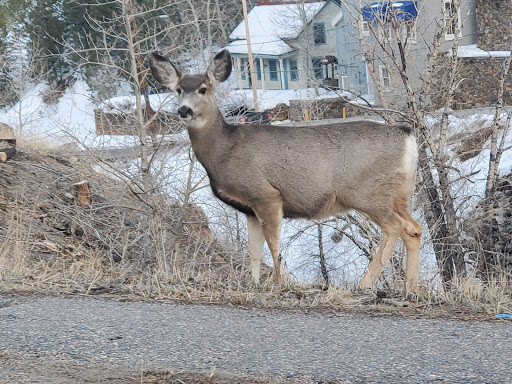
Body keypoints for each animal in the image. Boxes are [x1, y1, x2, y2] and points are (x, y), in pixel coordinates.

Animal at [149, 49, 424, 292]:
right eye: (178, 90)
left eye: (203, 89)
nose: (183, 110)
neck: (224, 151)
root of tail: (407, 136)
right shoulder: (248, 208)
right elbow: (254, 251)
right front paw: (255, 284)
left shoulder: (266, 194)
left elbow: (274, 247)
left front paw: (280, 283)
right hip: (399, 194)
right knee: (414, 228)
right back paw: (410, 288)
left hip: (367, 192)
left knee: (394, 227)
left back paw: (366, 284)